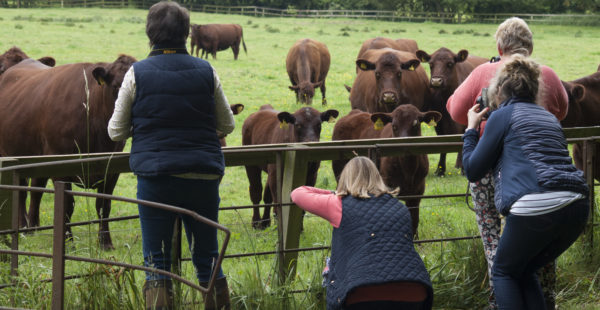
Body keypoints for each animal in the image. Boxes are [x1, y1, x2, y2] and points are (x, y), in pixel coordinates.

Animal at [0, 54, 137, 251]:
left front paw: (105, 242)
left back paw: (33, 228)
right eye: (117, 85)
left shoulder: (111, 168)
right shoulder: (60, 166)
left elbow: (104, 205)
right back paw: (23, 227)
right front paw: (68, 241)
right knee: (21, 192)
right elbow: (66, 205)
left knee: (35, 190)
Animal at [330, 105, 442, 236]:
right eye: (394, 126)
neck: (408, 170)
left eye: (416, 124)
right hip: (340, 174)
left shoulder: (417, 192)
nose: (403, 144)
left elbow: (414, 222)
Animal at [414, 47, 490, 176]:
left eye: (450, 64)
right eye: (431, 64)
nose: (436, 81)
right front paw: (440, 170)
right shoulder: (439, 122)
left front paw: (464, 169)